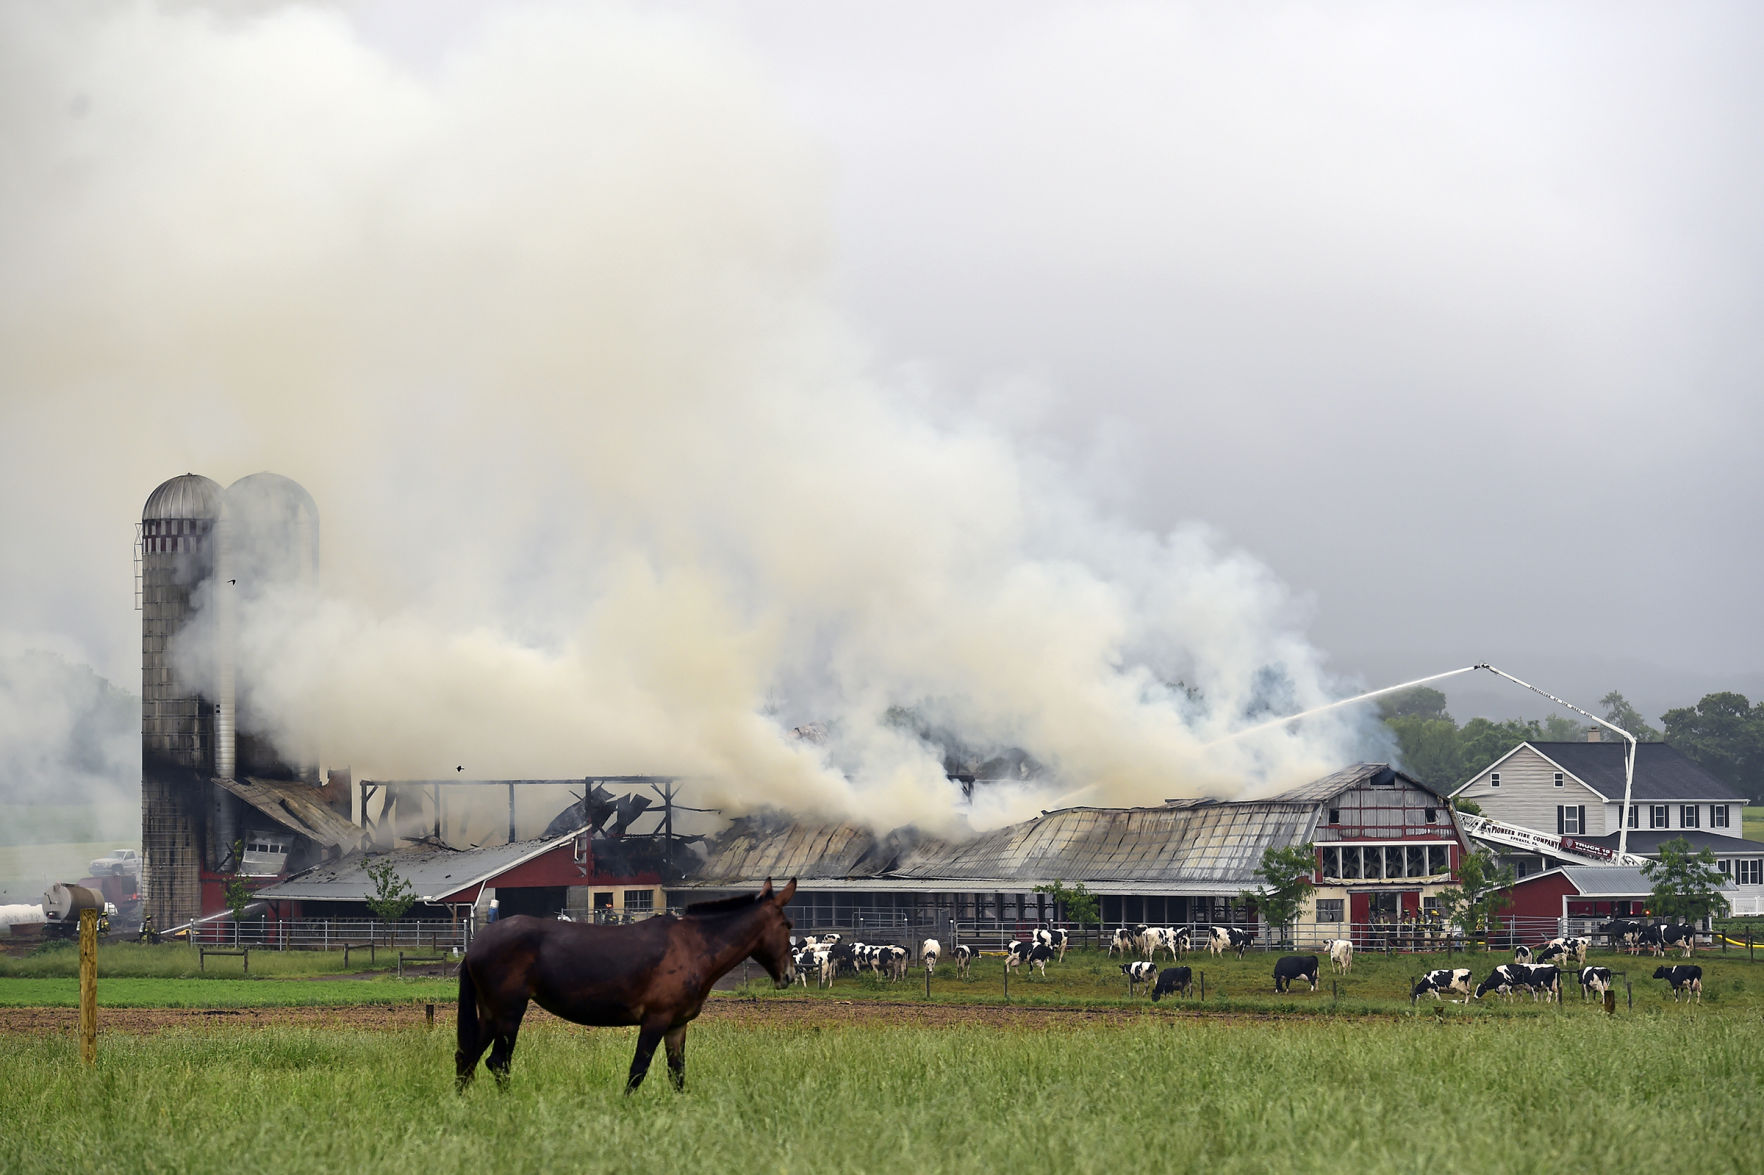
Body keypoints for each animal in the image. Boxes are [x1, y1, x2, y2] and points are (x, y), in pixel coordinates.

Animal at [458, 878, 797, 1086]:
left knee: (467, 1058)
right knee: (497, 1062)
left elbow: (677, 1075)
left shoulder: (677, 1026)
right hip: (509, 1014)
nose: (790, 975)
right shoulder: (656, 1020)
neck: (693, 945)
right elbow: (637, 1071)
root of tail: (477, 944)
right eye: (787, 924)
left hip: (490, 1015)